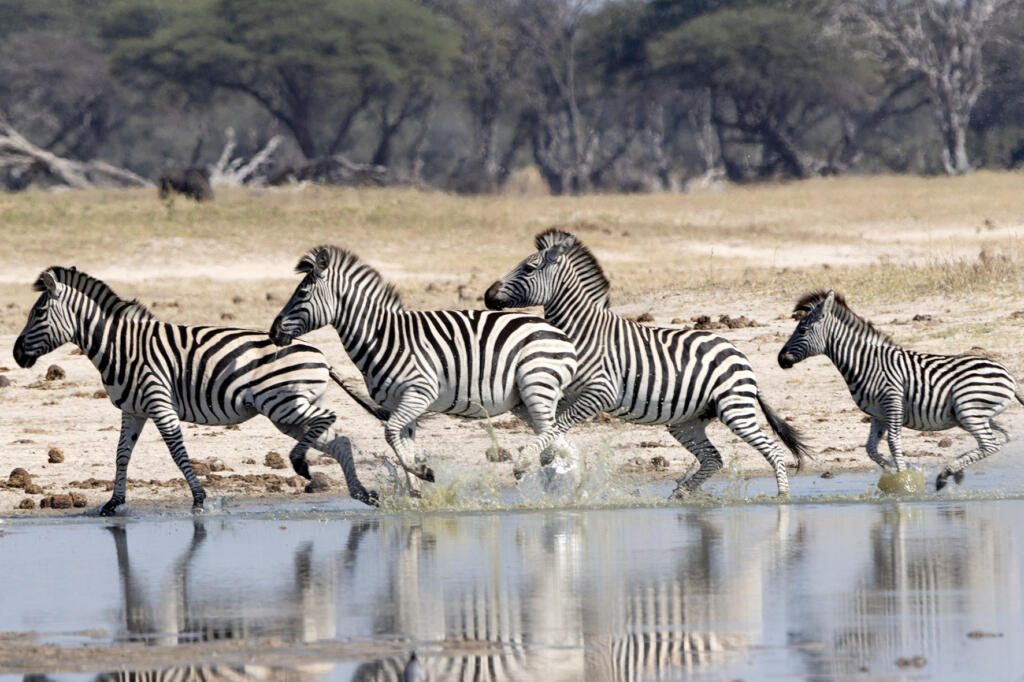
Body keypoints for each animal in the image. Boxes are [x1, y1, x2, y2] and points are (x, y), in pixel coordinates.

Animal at [12, 266, 379, 514]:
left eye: (39, 312)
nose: (15, 354)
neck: (121, 347)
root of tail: (323, 355)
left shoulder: (159, 402)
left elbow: (177, 452)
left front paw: (200, 498)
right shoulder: (133, 410)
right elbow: (121, 454)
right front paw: (114, 502)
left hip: (285, 404)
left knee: (328, 418)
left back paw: (301, 464)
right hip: (286, 413)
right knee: (338, 440)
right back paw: (361, 493)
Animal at [268, 245, 579, 490]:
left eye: (302, 294)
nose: (273, 332)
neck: (383, 337)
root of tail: (560, 334)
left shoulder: (419, 393)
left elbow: (390, 434)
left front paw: (422, 472)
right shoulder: (401, 403)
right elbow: (401, 442)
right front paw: (415, 491)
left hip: (536, 385)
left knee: (551, 432)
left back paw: (524, 465)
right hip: (523, 400)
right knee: (559, 438)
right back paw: (574, 485)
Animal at [483, 229, 808, 497]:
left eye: (528, 268)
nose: (487, 295)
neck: (583, 331)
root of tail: (738, 352)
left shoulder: (601, 392)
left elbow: (555, 426)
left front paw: (525, 461)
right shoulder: (568, 394)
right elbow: (551, 426)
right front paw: (548, 459)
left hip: (735, 409)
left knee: (773, 451)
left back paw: (782, 497)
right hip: (687, 421)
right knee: (713, 458)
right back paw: (679, 496)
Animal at [778, 289, 1024, 489]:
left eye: (802, 330)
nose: (780, 359)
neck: (866, 363)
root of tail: (1009, 375)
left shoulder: (892, 401)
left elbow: (893, 443)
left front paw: (904, 478)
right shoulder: (877, 414)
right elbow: (871, 449)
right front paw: (898, 471)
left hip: (969, 410)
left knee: (990, 444)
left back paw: (947, 473)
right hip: (975, 415)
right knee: (1002, 438)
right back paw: (954, 471)